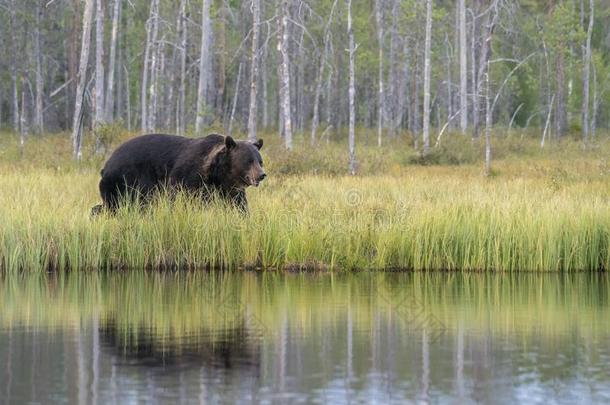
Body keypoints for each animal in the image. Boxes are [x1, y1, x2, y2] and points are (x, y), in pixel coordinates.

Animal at [91, 133, 264, 215]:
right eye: (249, 160)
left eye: (260, 161)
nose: (262, 175)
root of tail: (106, 164)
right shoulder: (189, 178)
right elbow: (182, 199)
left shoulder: (229, 191)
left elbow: (239, 207)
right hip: (127, 181)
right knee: (117, 205)